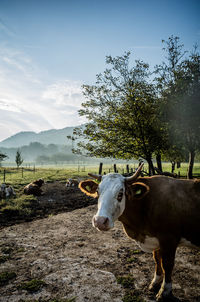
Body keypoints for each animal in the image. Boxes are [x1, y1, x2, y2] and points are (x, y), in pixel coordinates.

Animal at [78, 164, 200, 300]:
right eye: (97, 192)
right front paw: (155, 282)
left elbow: (167, 264)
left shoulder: (169, 239)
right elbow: (157, 260)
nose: (99, 221)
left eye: (120, 193)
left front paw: (164, 291)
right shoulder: (156, 239)